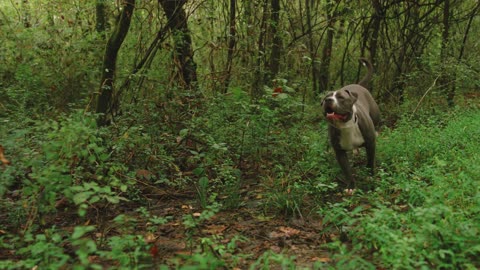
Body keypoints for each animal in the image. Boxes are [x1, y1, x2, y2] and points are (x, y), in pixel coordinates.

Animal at [320, 59, 380, 190]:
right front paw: (351, 186)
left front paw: (370, 176)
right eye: (326, 97)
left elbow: (370, 160)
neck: (345, 125)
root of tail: (359, 85)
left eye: (341, 97)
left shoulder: (370, 143)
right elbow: (347, 170)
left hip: (376, 116)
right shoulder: (339, 152)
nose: (328, 100)